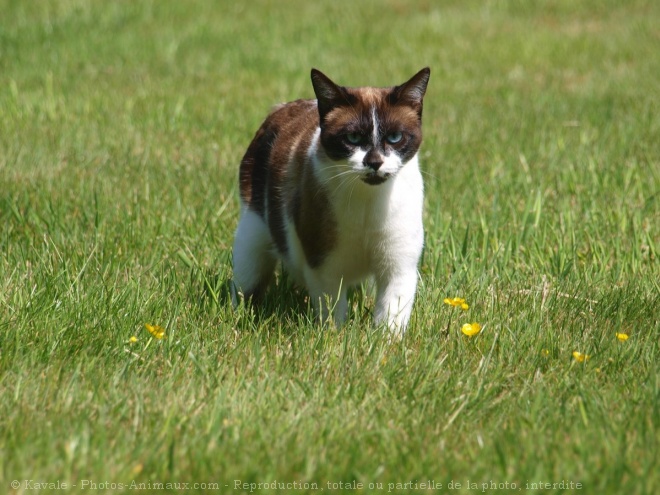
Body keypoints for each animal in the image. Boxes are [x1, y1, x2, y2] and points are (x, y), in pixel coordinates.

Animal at [229, 67, 430, 338]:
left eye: (395, 137)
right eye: (353, 138)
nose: (374, 162)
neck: (368, 203)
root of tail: (281, 108)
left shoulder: (398, 266)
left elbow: (391, 318)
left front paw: (386, 344)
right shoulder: (324, 265)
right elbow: (332, 311)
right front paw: (334, 339)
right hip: (252, 241)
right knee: (247, 283)